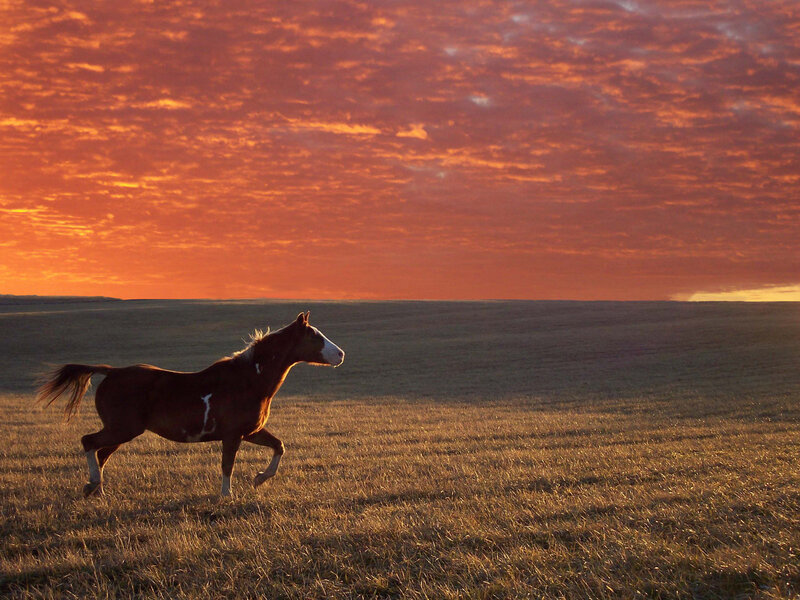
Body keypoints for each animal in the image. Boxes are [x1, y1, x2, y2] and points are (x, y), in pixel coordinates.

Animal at [37, 312, 344, 498]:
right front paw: (226, 496)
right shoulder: (233, 435)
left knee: (101, 454)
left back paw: (98, 490)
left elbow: (279, 446)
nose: (340, 354)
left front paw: (259, 478)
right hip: (122, 428)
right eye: (315, 336)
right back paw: (92, 484)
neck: (249, 380)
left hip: (123, 431)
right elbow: (227, 465)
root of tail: (111, 372)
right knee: (89, 442)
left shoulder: (251, 432)